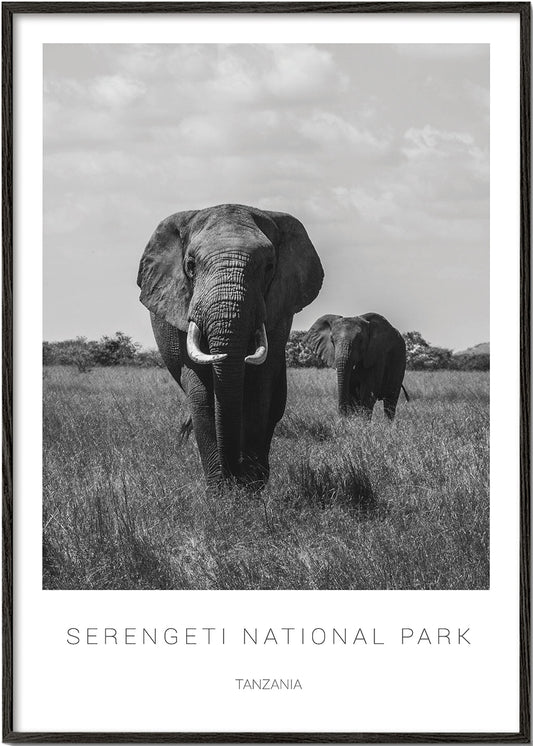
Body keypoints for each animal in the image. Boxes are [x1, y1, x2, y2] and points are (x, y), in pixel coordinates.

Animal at [137, 202, 322, 488]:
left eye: (269, 266)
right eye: (190, 265)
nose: (234, 474)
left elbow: (259, 389)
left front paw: (250, 488)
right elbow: (201, 394)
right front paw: (221, 491)